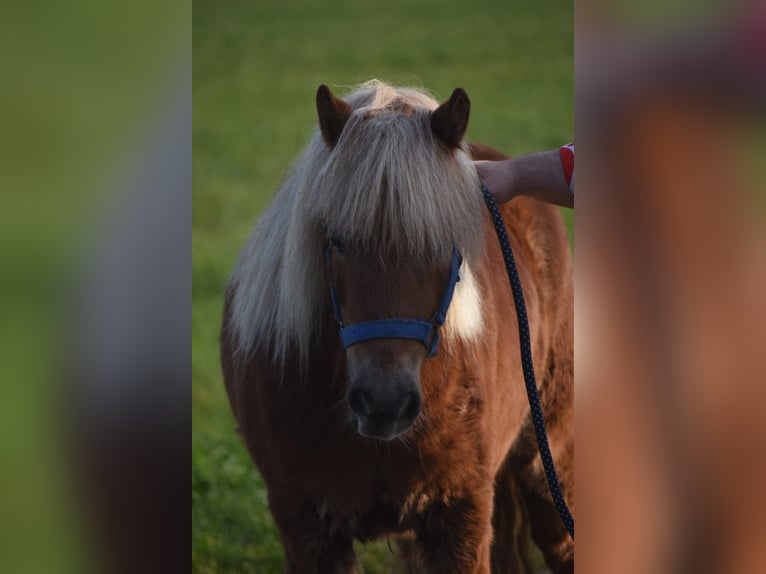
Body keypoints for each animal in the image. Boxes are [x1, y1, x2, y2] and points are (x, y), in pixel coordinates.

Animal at [220, 80, 574, 573]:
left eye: (445, 243)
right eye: (337, 241)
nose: (383, 403)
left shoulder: (461, 518)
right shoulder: (306, 528)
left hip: (549, 461)